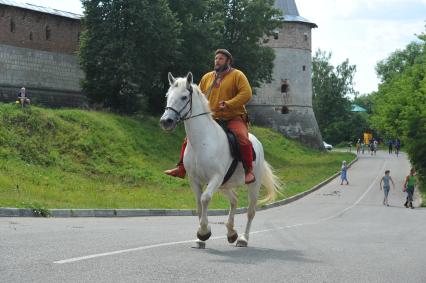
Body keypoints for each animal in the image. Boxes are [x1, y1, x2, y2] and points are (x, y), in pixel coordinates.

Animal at [159, 73, 280, 248]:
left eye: (184, 97)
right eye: (168, 96)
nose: (165, 121)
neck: (202, 141)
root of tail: (256, 142)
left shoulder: (215, 178)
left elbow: (205, 199)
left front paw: (204, 232)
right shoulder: (194, 180)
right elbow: (199, 204)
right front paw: (200, 238)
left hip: (253, 185)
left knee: (250, 211)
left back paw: (243, 238)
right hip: (225, 185)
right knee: (234, 200)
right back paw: (231, 232)